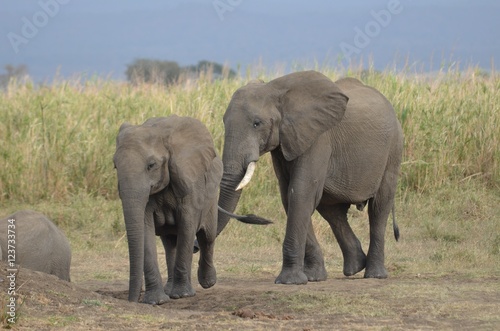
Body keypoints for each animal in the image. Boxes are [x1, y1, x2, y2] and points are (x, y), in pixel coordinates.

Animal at [114, 116, 270, 306]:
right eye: (115, 166)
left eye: (151, 165)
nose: (132, 299)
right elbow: (145, 229)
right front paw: (156, 301)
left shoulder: (190, 182)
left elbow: (188, 225)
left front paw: (182, 295)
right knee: (170, 243)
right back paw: (170, 289)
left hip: (211, 196)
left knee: (207, 237)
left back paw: (207, 282)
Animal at [217, 70, 404, 286]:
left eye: (257, 123)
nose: (196, 246)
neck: (275, 89)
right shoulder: (285, 141)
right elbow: (289, 197)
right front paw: (313, 278)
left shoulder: (318, 138)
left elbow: (300, 193)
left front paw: (289, 281)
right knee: (332, 212)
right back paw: (355, 266)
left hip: (393, 150)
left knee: (379, 207)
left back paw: (374, 274)